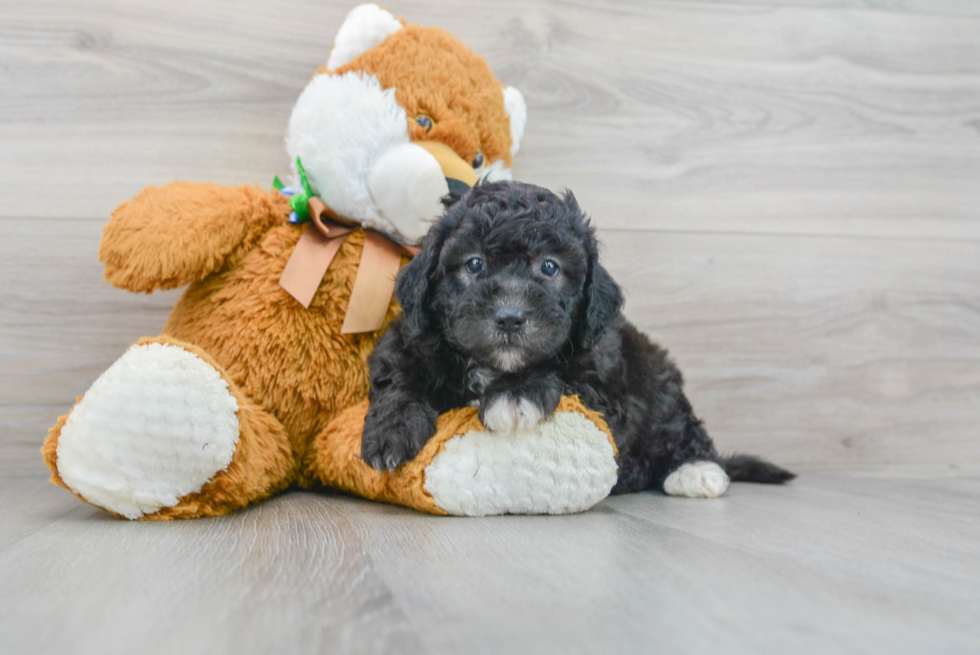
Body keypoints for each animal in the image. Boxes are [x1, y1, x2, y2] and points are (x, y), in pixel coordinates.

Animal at [364, 181, 792, 498]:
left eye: (550, 267)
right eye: (474, 264)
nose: (510, 317)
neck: (492, 365)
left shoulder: (603, 380)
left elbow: (563, 377)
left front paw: (515, 393)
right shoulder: (407, 339)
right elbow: (397, 379)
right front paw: (391, 432)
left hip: (661, 382)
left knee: (683, 430)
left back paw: (695, 471)